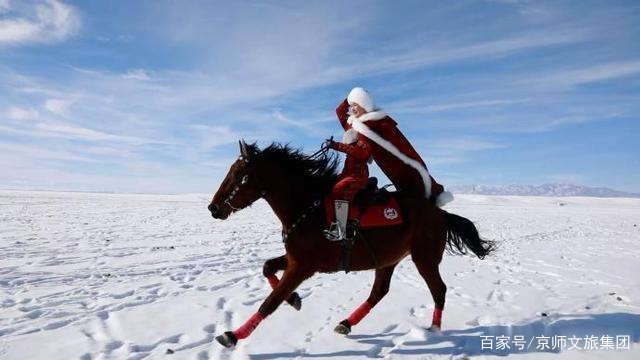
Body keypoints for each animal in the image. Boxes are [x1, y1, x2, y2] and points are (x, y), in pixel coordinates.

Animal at [208, 141, 492, 348]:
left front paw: (232, 336)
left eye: (239, 174)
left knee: (438, 290)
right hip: (387, 259)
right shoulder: (295, 259)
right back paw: (346, 323)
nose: (213, 208)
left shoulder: (303, 266)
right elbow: (267, 268)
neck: (307, 208)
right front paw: (295, 299)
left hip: (424, 258)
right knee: (379, 292)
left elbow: (270, 302)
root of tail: (440, 213)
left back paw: (434, 330)